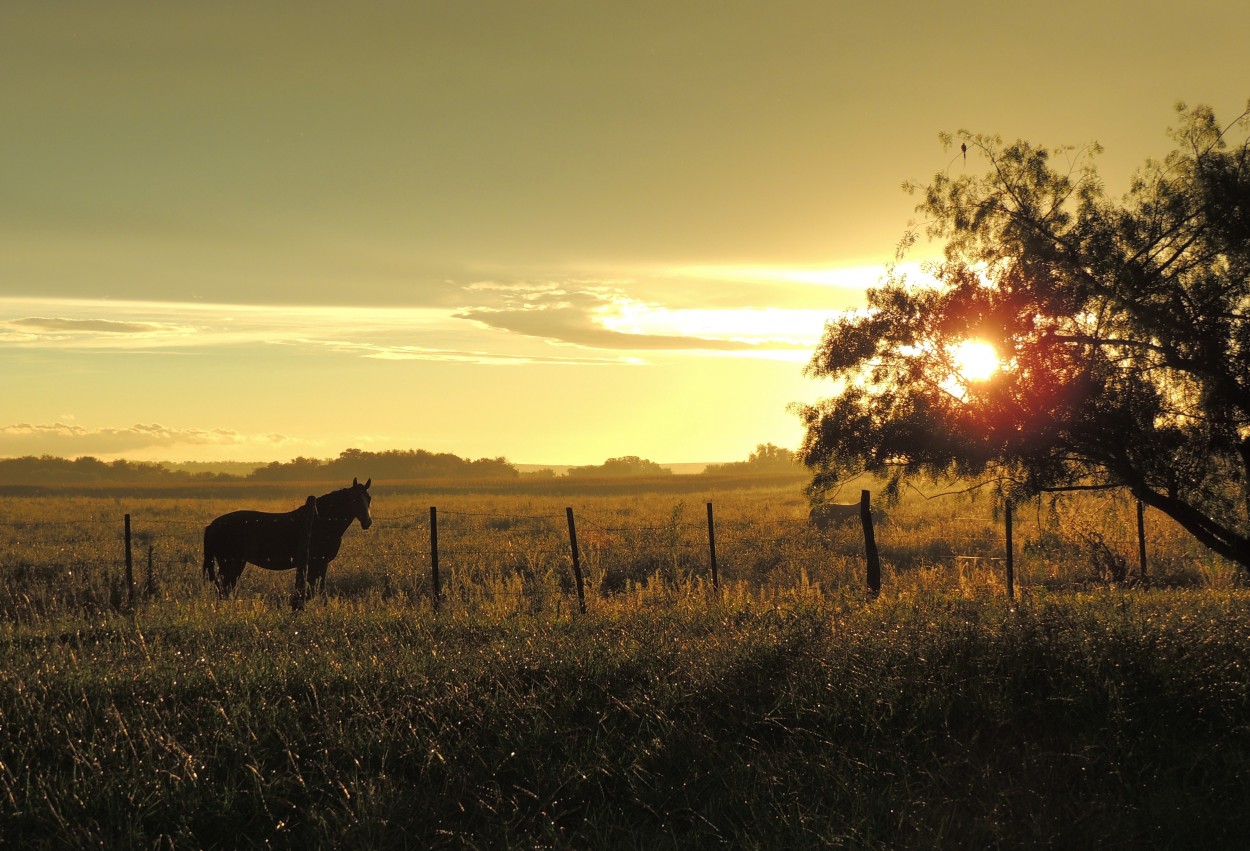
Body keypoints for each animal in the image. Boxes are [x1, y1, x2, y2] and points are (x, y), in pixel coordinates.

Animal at [202, 474, 370, 607]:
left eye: (369, 499)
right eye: (355, 499)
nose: (367, 522)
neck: (320, 521)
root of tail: (212, 525)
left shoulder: (321, 563)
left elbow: (315, 590)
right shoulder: (317, 562)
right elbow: (315, 590)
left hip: (235, 563)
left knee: (224, 588)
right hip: (230, 563)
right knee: (222, 588)